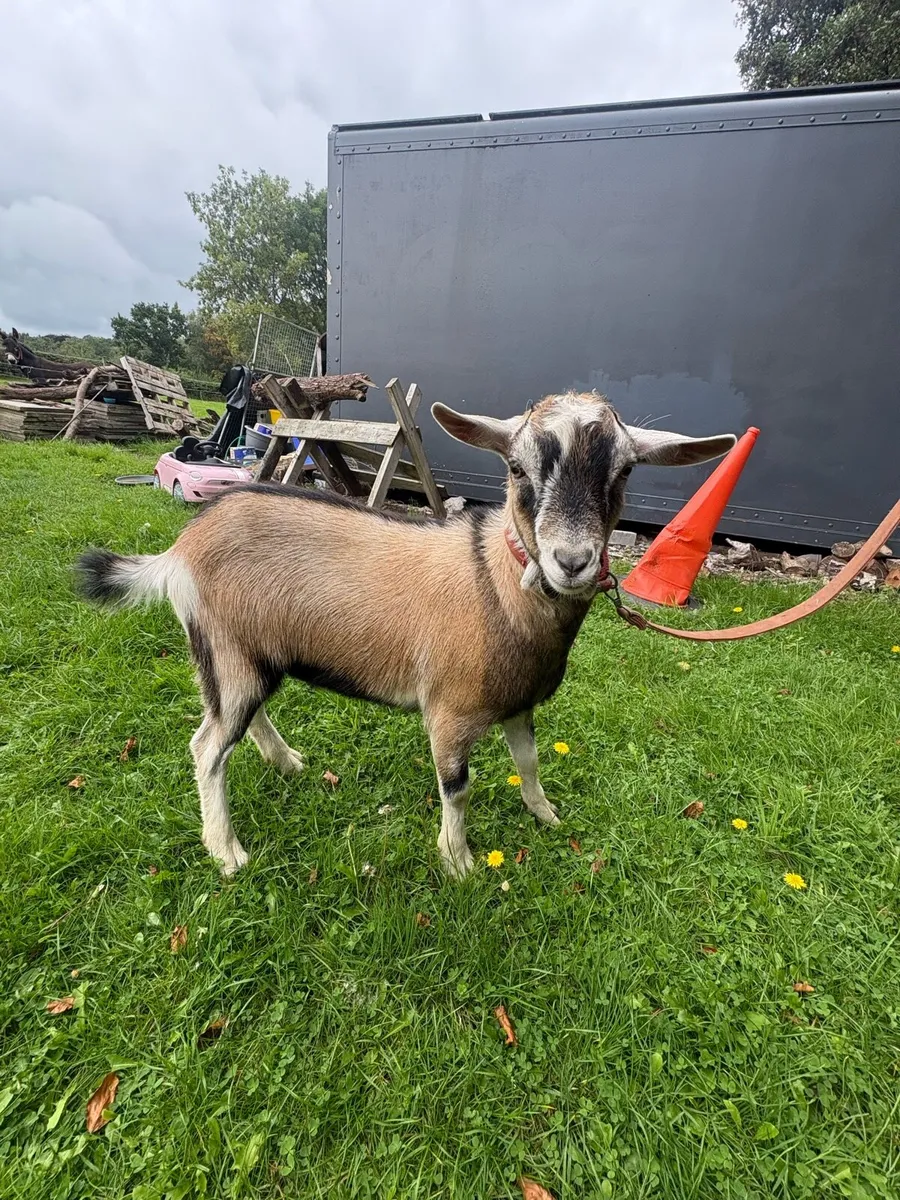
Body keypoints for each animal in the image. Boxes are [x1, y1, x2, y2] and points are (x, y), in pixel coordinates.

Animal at [76, 392, 735, 878]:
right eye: (516, 467)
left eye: (623, 470)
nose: (571, 561)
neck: (496, 586)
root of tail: (179, 550)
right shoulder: (450, 712)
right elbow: (458, 788)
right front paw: (459, 862)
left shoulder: (519, 702)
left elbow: (528, 760)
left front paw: (545, 814)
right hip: (227, 649)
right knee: (208, 746)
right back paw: (229, 852)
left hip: (246, 653)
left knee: (242, 718)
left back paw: (286, 763)